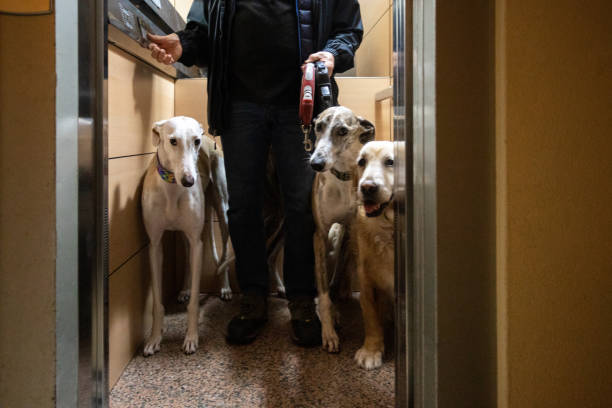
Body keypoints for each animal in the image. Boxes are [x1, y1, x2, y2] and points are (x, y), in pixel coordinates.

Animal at [142, 116, 209, 356]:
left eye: (196, 140)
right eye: (172, 141)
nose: (189, 181)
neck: (172, 190)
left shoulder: (197, 241)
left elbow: (194, 303)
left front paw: (191, 338)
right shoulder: (154, 244)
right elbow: (157, 301)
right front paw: (154, 338)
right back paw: (183, 290)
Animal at [314, 107, 376, 352]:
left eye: (342, 131)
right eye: (318, 126)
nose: (316, 163)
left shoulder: (352, 230)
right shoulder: (320, 236)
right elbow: (322, 293)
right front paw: (328, 332)